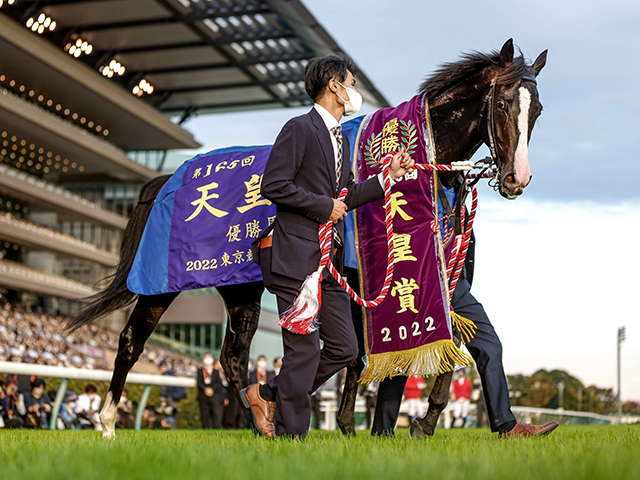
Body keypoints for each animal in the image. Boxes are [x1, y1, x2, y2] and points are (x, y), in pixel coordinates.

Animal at [67, 40, 544, 438]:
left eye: (536, 109)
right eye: (503, 103)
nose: (516, 179)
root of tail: (166, 179)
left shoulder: (442, 279)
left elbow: (457, 340)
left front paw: (404, 424)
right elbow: (366, 355)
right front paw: (394, 424)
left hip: (242, 289)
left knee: (233, 358)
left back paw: (260, 422)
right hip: (161, 284)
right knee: (132, 341)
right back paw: (107, 424)